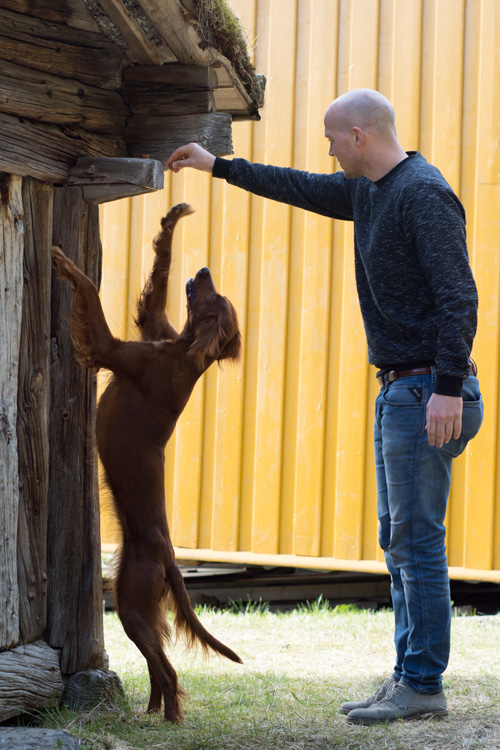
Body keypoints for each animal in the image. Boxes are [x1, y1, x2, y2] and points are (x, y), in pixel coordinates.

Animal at [51, 204, 243, 724]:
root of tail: (172, 558)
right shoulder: (154, 325)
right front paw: (174, 217)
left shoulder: (111, 348)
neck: (184, 353)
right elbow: (157, 283)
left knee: (170, 670)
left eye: (216, 297)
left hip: (133, 606)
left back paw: (170, 720)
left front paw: (62, 260)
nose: (204, 270)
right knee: (159, 666)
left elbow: (89, 290)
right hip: (129, 604)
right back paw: (150, 711)